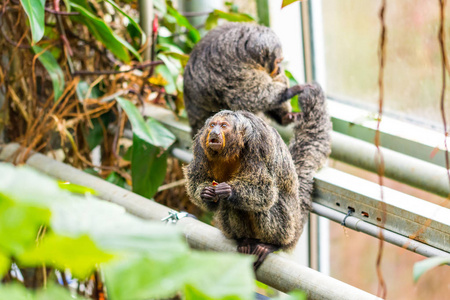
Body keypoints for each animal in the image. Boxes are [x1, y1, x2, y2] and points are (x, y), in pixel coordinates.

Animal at [183, 84, 330, 270]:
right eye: (212, 126)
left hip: (288, 226)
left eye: (223, 126)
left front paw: (228, 190)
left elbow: (266, 192)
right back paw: (246, 240)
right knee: (231, 206)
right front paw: (206, 193)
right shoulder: (201, 146)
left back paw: (271, 244)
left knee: (263, 207)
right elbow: (196, 179)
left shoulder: (258, 144)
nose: (214, 132)